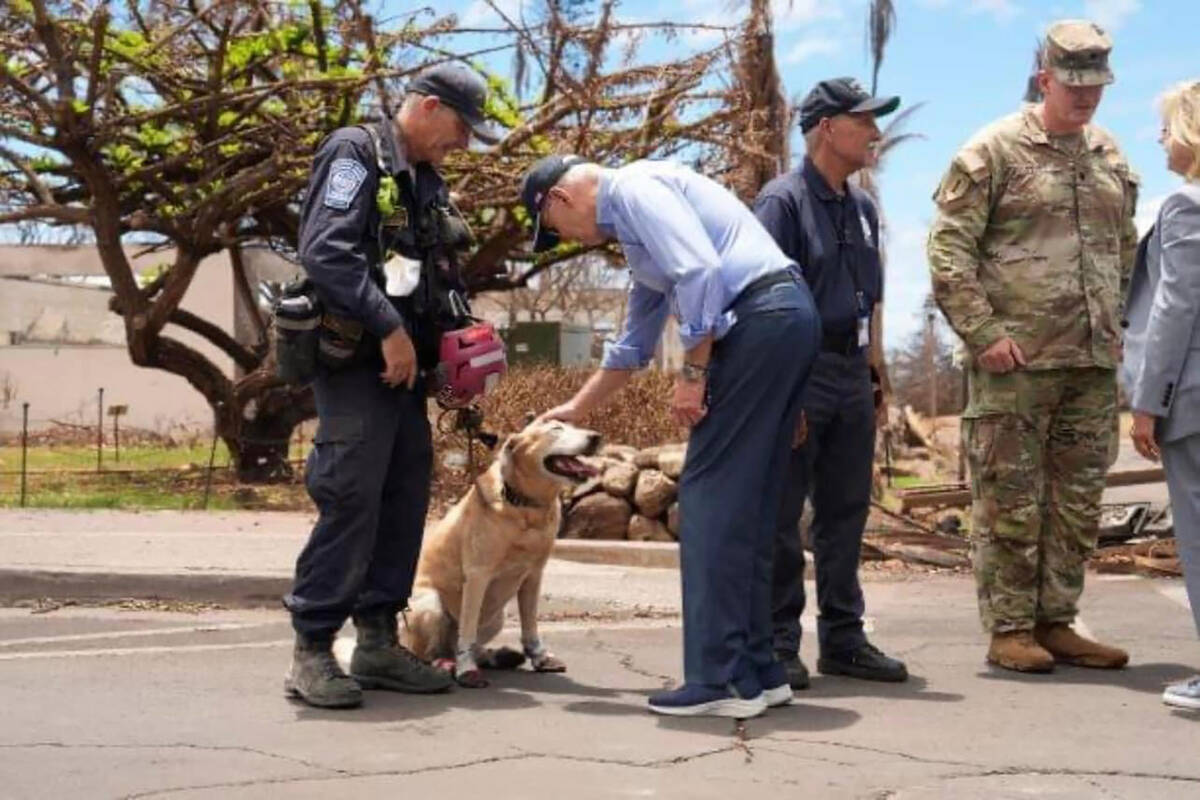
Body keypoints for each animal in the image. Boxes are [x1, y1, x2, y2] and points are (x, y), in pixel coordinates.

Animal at [403, 419, 600, 690]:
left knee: (463, 646)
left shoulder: (534, 574)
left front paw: (539, 657)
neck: (527, 506)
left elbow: (530, 623)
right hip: (431, 604)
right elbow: (468, 628)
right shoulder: (478, 575)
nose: (596, 437)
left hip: (498, 618)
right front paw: (466, 670)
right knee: (431, 652)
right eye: (556, 429)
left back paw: (494, 657)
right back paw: (447, 665)